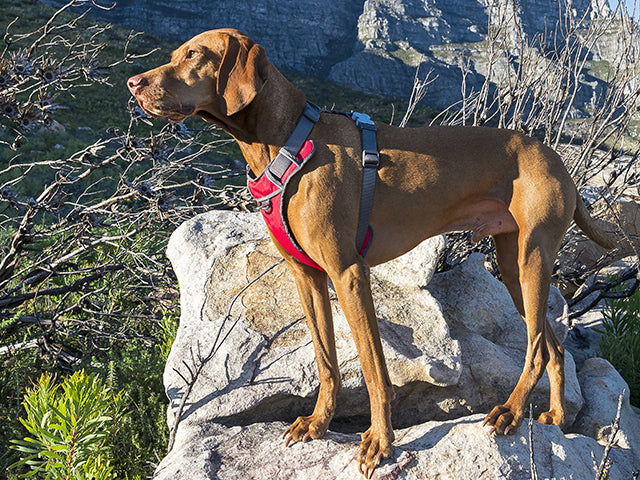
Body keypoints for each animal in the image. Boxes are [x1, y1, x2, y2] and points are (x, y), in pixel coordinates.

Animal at [129, 29, 616, 476]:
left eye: (194, 54)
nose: (133, 83)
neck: (288, 141)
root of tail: (557, 159)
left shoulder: (348, 273)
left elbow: (373, 367)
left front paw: (380, 442)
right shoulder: (307, 276)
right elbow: (327, 361)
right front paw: (318, 423)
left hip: (531, 258)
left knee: (535, 349)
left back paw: (510, 413)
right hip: (515, 268)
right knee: (553, 346)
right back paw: (555, 417)